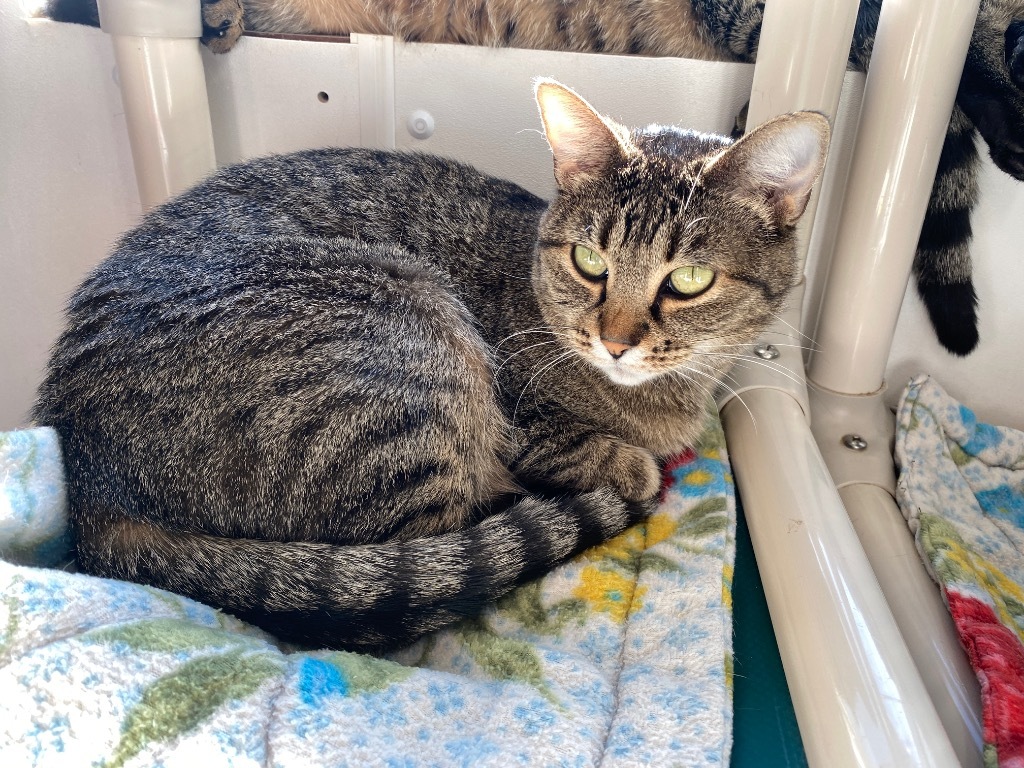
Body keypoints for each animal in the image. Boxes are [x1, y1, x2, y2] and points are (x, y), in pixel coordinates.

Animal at [34, 81, 831, 651]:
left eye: (690, 279)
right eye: (590, 261)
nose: (615, 341)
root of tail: (90, 480)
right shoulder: (527, 426)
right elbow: (599, 454)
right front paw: (630, 462)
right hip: (403, 349)